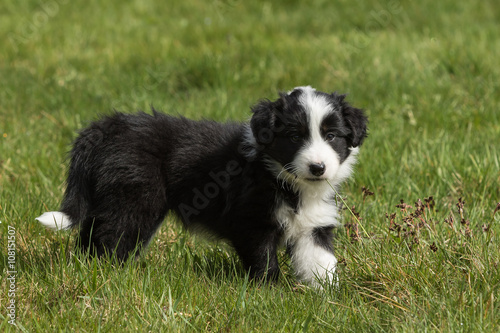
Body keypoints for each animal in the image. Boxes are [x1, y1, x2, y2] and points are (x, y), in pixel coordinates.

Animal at [37, 85, 368, 286]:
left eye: (332, 136)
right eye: (294, 136)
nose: (318, 167)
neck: (285, 180)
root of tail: (107, 126)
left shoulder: (314, 224)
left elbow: (321, 261)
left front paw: (328, 297)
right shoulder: (252, 221)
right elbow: (263, 259)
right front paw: (269, 291)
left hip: (109, 194)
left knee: (92, 231)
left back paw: (86, 269)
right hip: (136, 199)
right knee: (111, 236)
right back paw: (110, 276)